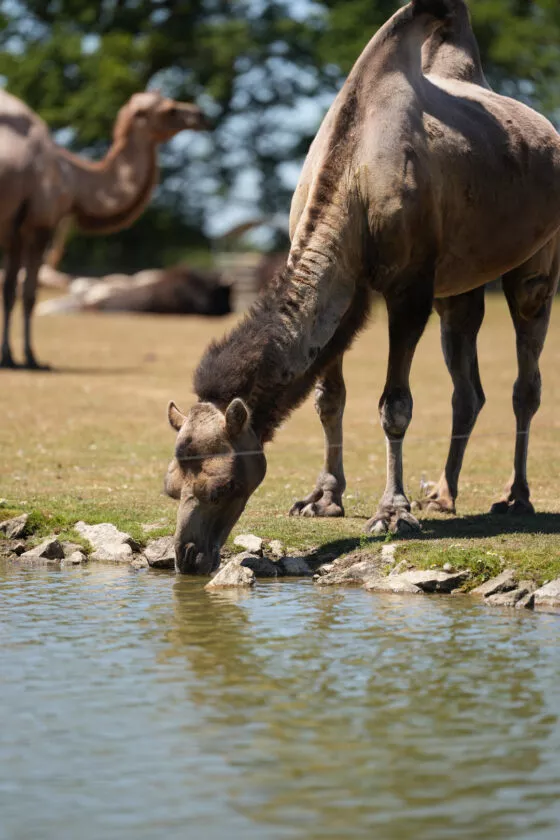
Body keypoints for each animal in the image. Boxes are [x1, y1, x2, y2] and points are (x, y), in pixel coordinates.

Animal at [0, 90, 207, 369]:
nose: (200, 115)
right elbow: (28, 293)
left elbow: (10, 290)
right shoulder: (39, 221)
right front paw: (29, 358)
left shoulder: (13, 228)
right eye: (170, 109)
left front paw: (10, 356)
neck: (73, 177)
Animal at [165, 0, 560, 574]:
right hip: (457, 287)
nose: (187, 557)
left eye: (225, 486)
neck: (354, 172)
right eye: (172, 488)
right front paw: (322, 499)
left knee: (525, 380)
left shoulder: (409, 289)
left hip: (537, 260)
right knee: (467, 387)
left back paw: (516, 497)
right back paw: (443, 495)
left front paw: (392, 512)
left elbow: (395, 405)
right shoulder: (350, 291)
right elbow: (329, 397)